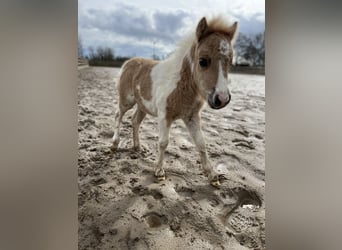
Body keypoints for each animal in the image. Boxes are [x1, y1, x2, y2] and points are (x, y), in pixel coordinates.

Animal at [111, 16, 238, 187]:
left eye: (230, 62)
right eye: (203, 61)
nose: (222, 99)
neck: (181, 85)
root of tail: (128, 62)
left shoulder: (191, 117)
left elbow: (201, 143)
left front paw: (212, 175)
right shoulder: (165, 115)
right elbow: (163, 142)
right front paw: (159, 172)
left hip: (142, 105)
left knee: (135, 121)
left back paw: (137, 147)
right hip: (127, 100)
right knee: (119, 115)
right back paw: (114, 144)